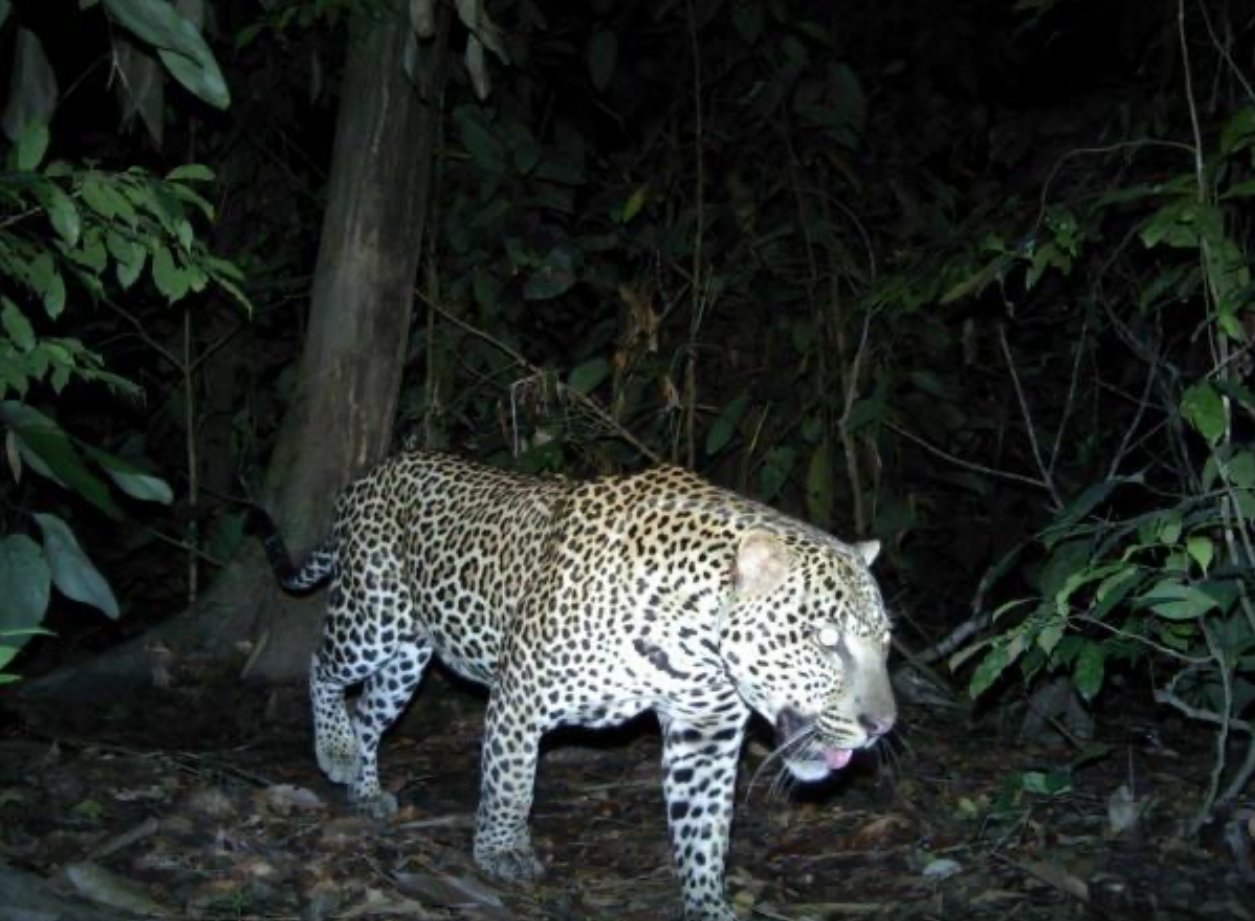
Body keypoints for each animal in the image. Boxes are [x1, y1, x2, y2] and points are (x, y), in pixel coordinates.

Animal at [253, 450, 896, 921]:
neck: (694, 643)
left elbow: (704, 826)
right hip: (372, 618)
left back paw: (363, 790)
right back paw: (334, 750)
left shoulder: (705, 734)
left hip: (408, 658)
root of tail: (370, 474)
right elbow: (511, 784)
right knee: (322, 665)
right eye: (826, 639)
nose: (882, 725)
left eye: (886, 640)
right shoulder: (520, 696)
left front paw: (708, 902)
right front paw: (502, 852)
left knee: (370, 714)